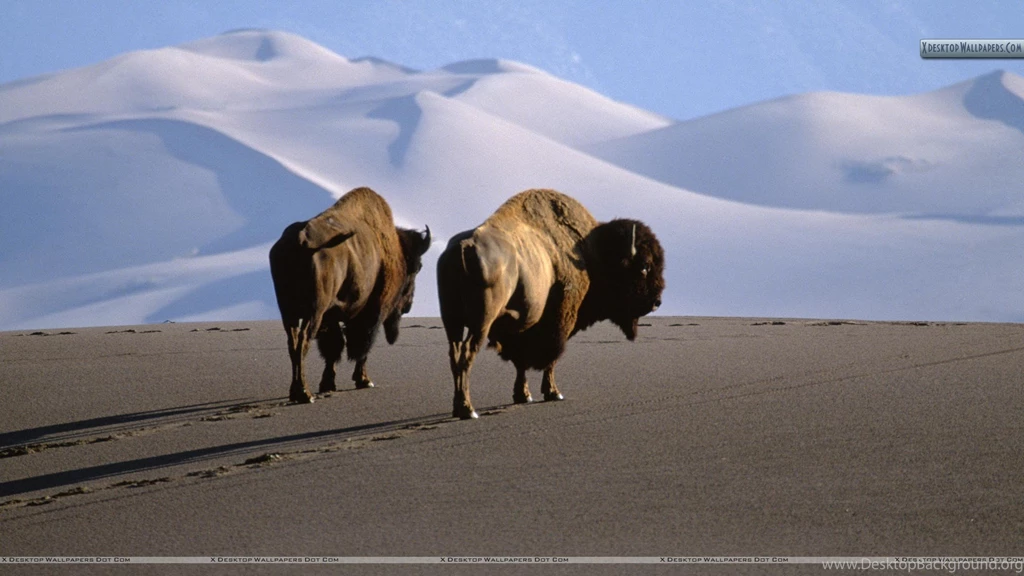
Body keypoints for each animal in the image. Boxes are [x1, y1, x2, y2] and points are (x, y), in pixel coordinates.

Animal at [270, 187, 431, 403]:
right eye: (417, 267)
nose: (408, 306)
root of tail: (301, 240)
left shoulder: (331, 317)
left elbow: (334, 348)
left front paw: (328, 383)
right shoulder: (372, 312)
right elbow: (361, 345)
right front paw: (364, 380)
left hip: (289, 312)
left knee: (293, 343)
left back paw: (296, 391)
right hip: (314, 311)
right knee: (304, 341)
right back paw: (304, 393)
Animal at [437, 188, 665, 419]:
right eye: (644, 266)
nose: (657, 302)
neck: (589, 251)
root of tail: (463, 247)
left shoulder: (522, 327)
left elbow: (521, 362)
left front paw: (523, 395)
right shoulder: (560, 321)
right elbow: (551, 358)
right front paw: (554, 393)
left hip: (451, 321)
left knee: (454, 354)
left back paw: (458, 407)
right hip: (481, 321)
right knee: (467, 353)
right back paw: (468, 410)